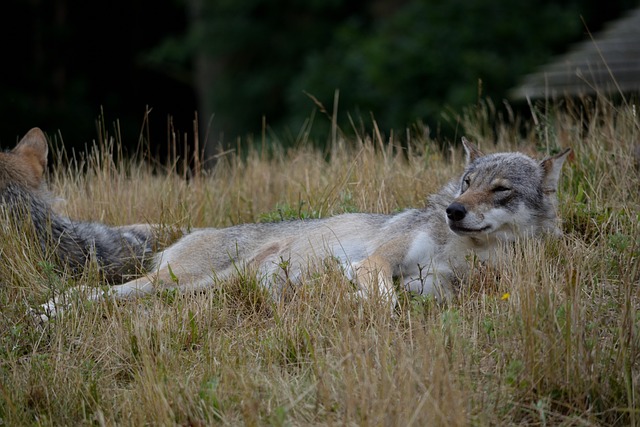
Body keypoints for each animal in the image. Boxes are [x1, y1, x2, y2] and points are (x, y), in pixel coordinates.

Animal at [38, 137, 568, 320]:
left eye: (500, 190)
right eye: (467, 182)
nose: (453, 212)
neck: (462, 250)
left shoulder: (434, 289)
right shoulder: (377, 260)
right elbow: (381, 294)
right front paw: (367, 306)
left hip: (192, 290)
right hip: (173, 281)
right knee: (95, 293)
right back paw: (47, 311)